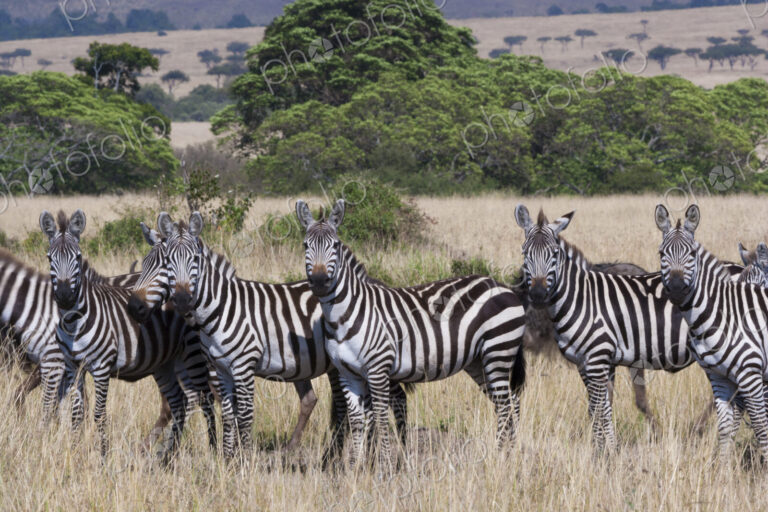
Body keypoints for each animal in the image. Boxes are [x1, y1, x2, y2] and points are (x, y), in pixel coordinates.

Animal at [40, 209, 215, 459]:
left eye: (78, 257)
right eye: (49, 258)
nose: (65, 297)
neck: (74, 322)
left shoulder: (101, 367)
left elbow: (99, 414)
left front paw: (103, 456)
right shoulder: (74, 367)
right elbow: (77, 414)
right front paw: (73, 452)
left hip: (192, 353)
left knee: (205, 399)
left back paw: (212, 449)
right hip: (166, 361)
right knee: (179, 401)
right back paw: (168, 456)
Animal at [127, 212, 409, 460]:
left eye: (162, 266)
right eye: (147, 265)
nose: (134, 307)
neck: (222, 306)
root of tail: (374, 283)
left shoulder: (227, 366)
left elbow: (230, 411)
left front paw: (235, 454)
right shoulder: (216, 366)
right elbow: (224, 411)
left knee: (389, 400)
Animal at [296, 199, 527, 469]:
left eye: (334, 245)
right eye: (305, 245)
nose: (320, 281)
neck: (344, 315)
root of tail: (503, 287)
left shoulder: (378, 370)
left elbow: (381, 418)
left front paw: (383, 467)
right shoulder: (347, 374)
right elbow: (357, 421)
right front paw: (353, 469)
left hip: (498, 352)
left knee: (505, 404)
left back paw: (499, 455)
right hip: (479, 361)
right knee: (510, 401)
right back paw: (510, 453)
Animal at [655, 204, 768, 460]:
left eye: (692, 254)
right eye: (661, 254)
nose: (676, 289)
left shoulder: (751, 374)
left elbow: (761, 427)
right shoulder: (719, 377)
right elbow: (725, 429)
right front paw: (724, 469)